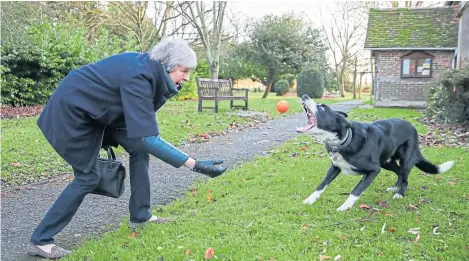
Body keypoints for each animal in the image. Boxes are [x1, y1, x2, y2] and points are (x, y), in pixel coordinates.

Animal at [296, 94, 454, 210]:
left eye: (322, 109)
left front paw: (345, 206)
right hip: (387, 162)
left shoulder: (373, 170)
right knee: (400, 173)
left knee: (405, 176)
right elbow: (322, 185)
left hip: (404, 159)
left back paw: (400, 193)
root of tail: (413, 128)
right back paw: (394, 188)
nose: (304, 95)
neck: (345, 140)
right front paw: (310, 199)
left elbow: (356, 190)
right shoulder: (335, 167)